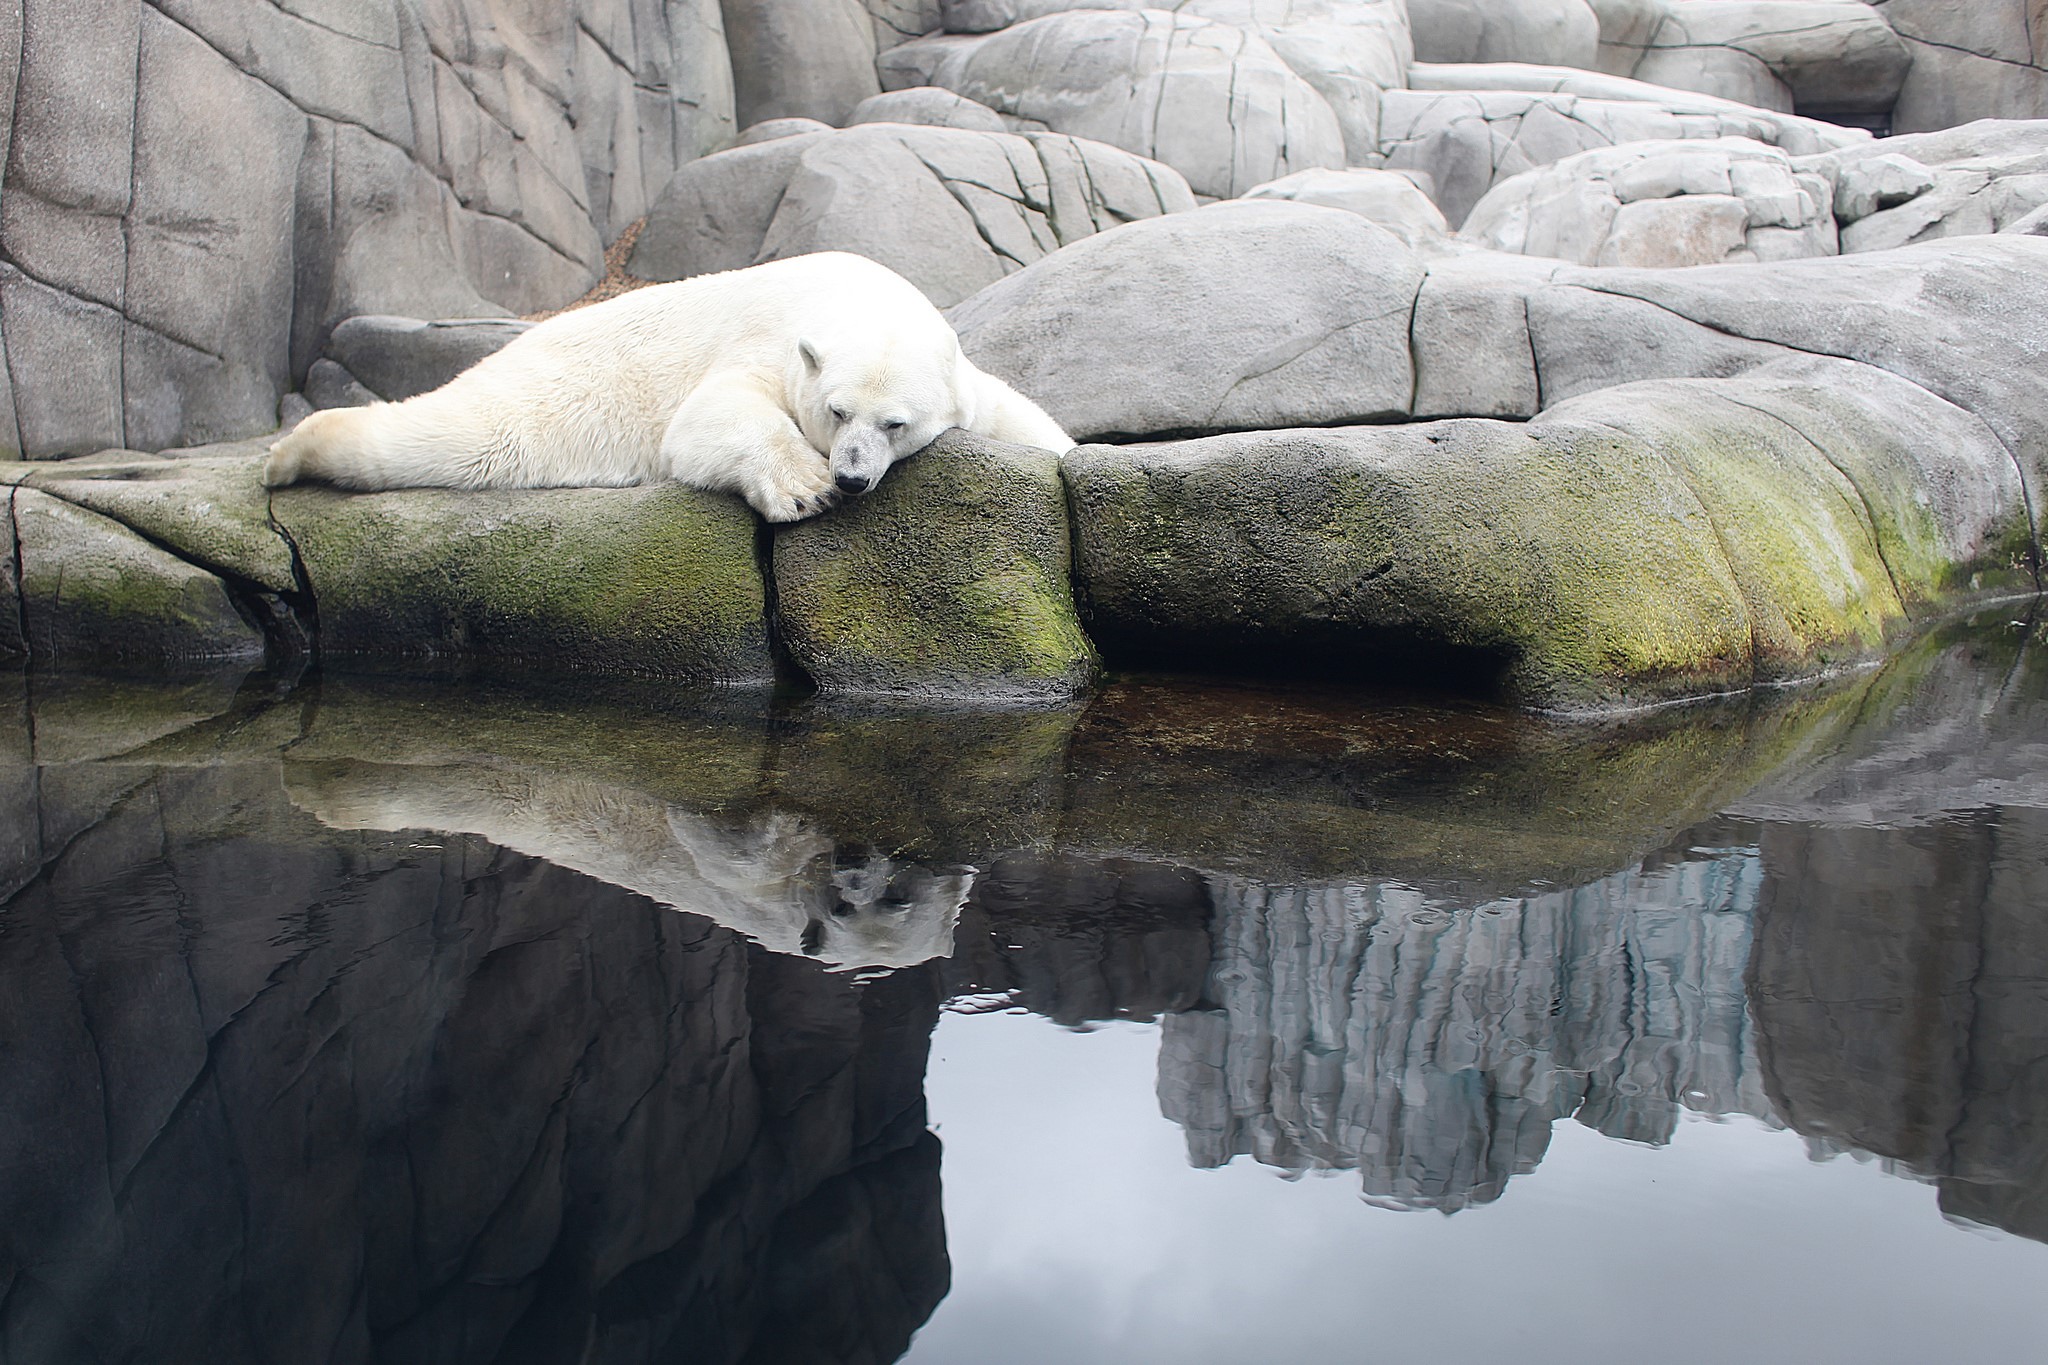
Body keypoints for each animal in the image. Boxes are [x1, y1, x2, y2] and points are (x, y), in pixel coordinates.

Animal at [263, 252, 1074, 521]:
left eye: (895, 423)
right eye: (837, 411)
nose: (849, 478)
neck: (849, 290)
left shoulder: (960, 376)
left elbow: (1013, 413)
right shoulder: (768, 341)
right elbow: (708, 416)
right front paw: (802, 489)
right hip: (553, 390)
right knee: (470, 436)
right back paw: (288, 455)